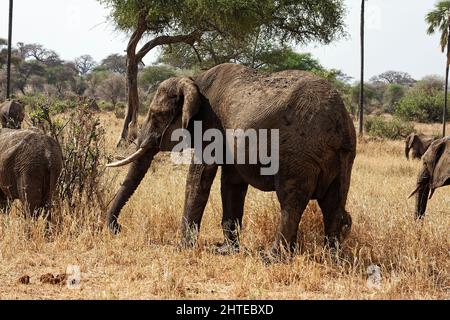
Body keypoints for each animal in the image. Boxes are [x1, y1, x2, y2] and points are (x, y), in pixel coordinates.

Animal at [105, 63, 356, 258]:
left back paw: (272, 258)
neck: (194, 80)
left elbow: (198, 177)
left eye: (156, 115)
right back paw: (332, 258)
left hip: (298, 154)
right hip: (342, 158)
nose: (118, 228)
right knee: (333, 204)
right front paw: (226, 250)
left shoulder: (210, 124)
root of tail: (340, 121)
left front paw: (182, 248)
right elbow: (231, 184)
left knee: (290, 201)